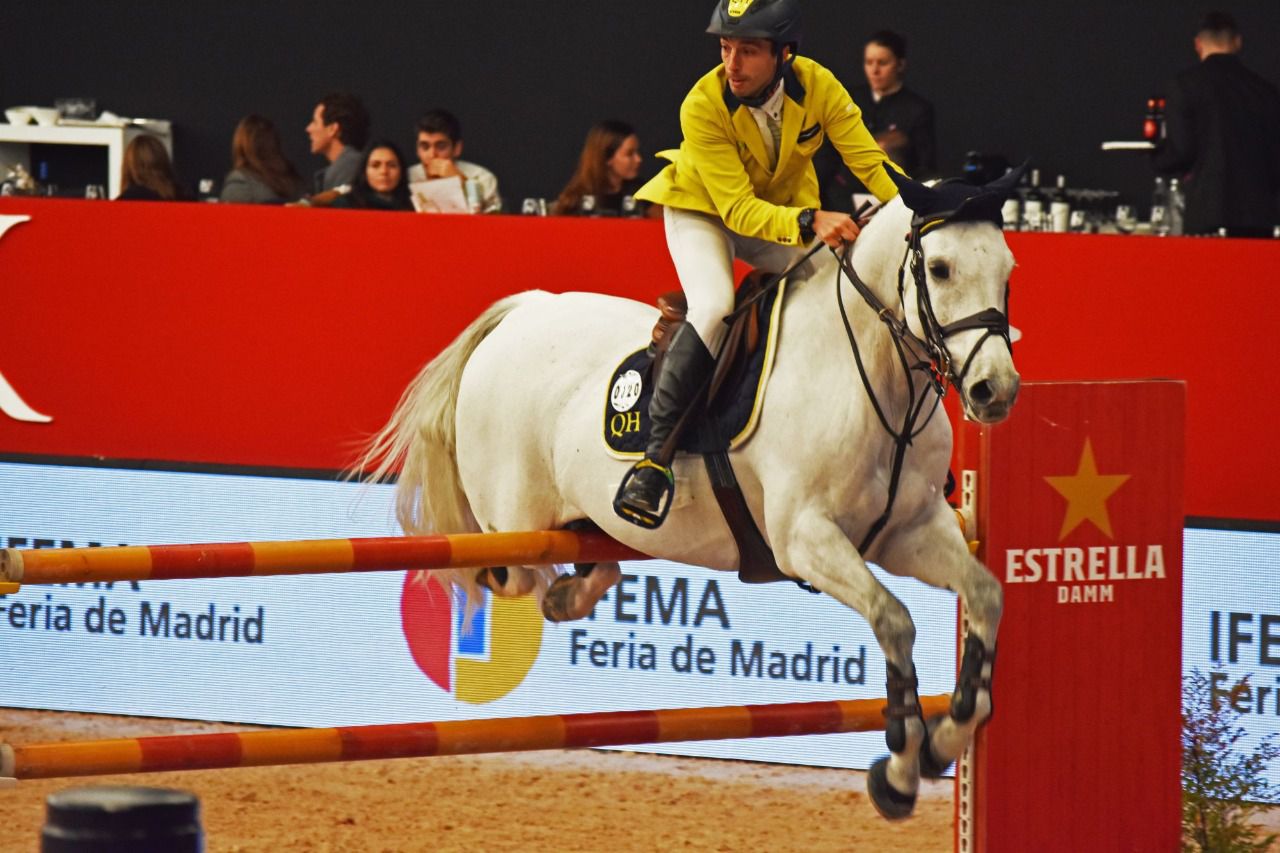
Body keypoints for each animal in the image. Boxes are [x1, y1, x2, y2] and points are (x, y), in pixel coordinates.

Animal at [360, 168, 1021, 820]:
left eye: (1008, 269)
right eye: (941, 268)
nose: (996, 391)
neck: (876, 379)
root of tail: (524, 311)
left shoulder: (912, 531)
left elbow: (985, 596)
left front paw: (945, 737)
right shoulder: (805, 540)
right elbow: (895, 621)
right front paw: (901, 770)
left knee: (587, 561)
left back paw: (572, 594)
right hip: (515, 518)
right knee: (503, 571)